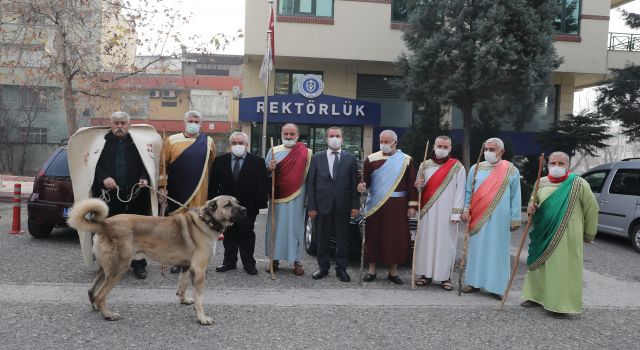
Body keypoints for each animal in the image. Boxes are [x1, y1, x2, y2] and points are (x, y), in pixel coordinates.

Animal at [66, 196, 244, 324]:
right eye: (228, 204)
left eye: (237, 202)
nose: (245, 209)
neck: (206, 221)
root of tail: (104, 224)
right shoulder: (199, 271)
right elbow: (200, 298)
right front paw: (202, 318)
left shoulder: (186, 267)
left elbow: (182, 286)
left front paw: (184, 300)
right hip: (118, 269)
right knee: (100, 294)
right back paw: (108, 314)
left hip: (107, 268)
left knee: (91, 290)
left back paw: (96, 307)